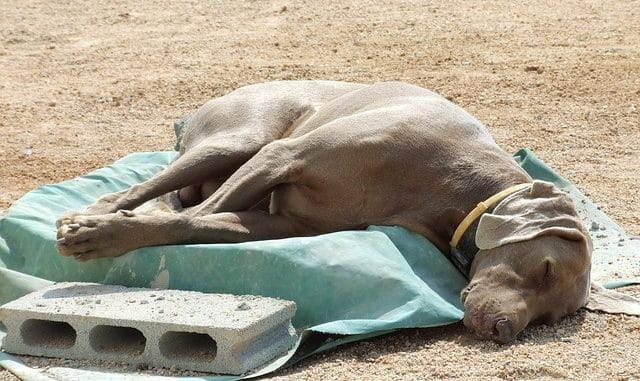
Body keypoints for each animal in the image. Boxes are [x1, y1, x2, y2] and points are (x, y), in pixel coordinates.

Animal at [58, 80, 616, 342]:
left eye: (551, 318)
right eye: (545, 268)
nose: (505, 331)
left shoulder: (282, 222)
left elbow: (200, 222)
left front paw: (112, 232)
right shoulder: (282, 157)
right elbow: (185, 218)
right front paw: (101, 233)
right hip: (245, 136)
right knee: (152, 187)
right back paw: (97, 211)